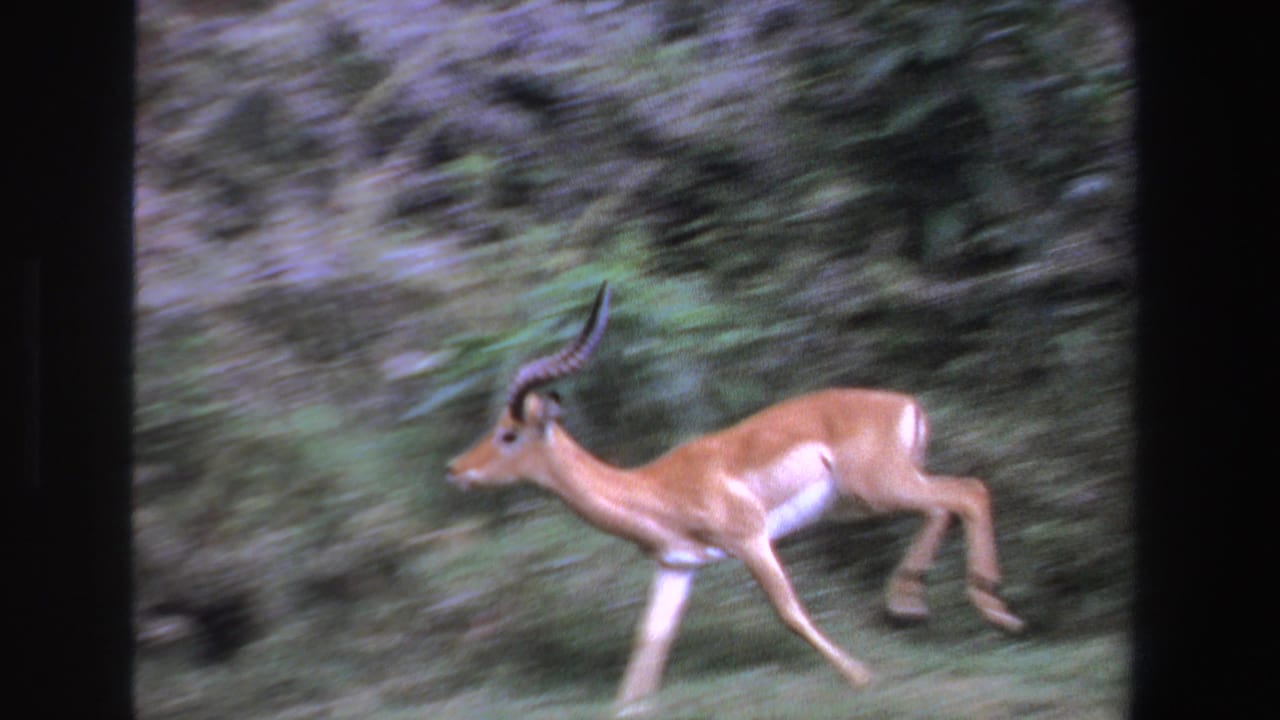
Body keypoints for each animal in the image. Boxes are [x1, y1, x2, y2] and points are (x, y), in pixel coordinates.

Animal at [445, 282, 1023, 713]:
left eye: (509, 433)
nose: (456, 470)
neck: (655, 488)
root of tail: (906, 404)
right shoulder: (677, 565)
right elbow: (651, 641)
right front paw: (631, 704)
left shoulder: (750, 539)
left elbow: (788, 610)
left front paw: (861, 676)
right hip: (875, 495)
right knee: (950, 501)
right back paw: (913, 602)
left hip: (878, 489)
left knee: (968, 492)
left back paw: (990, 611)